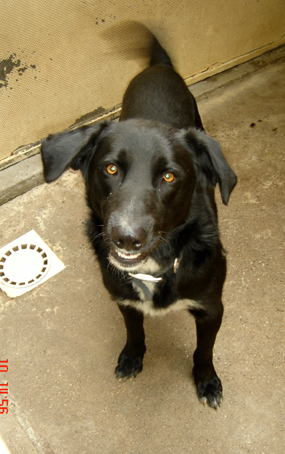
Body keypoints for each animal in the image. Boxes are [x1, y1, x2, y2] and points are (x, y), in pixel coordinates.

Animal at [40, 32, 235, 408]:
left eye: (170, 177)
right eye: (110, 168)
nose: (126, 238)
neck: (157, 265)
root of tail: (159, 65)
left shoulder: (212, 308)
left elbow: (204, 351)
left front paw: (206, 381)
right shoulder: (123, 300)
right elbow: (134, 330)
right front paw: (132, 356)